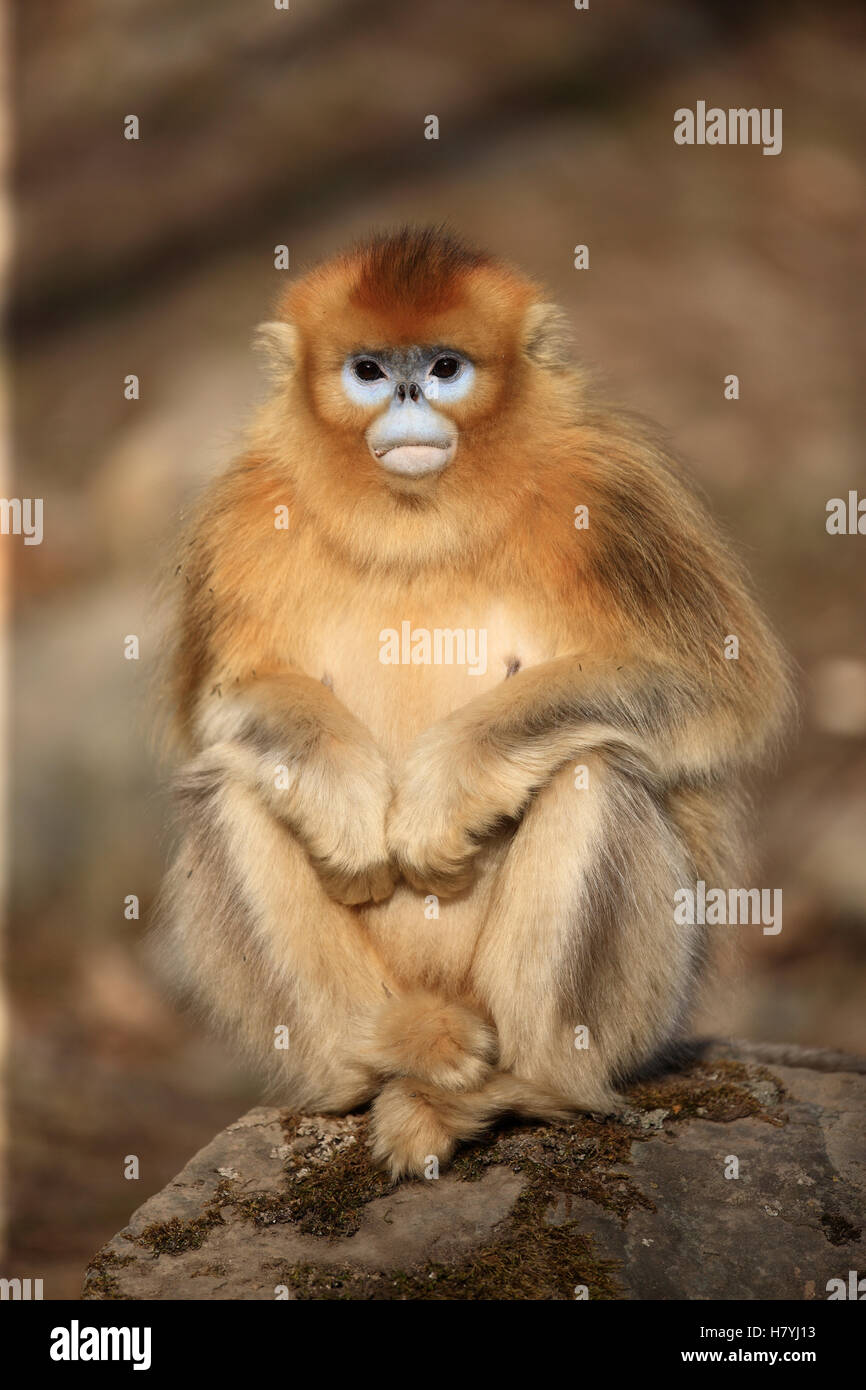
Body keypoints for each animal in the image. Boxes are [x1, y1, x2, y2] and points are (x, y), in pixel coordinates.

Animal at [155, 227, 793, 1179]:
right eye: (370, 371)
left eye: (446, 367)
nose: (411, 396)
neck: (418, 517)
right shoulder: (241, 509)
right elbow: (216, 711)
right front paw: (349, 801)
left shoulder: (614, 490)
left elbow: (720, 689)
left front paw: (444, 791)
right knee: (233, 784)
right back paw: (373, 1067)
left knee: (593, 769)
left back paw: (524, 1089)